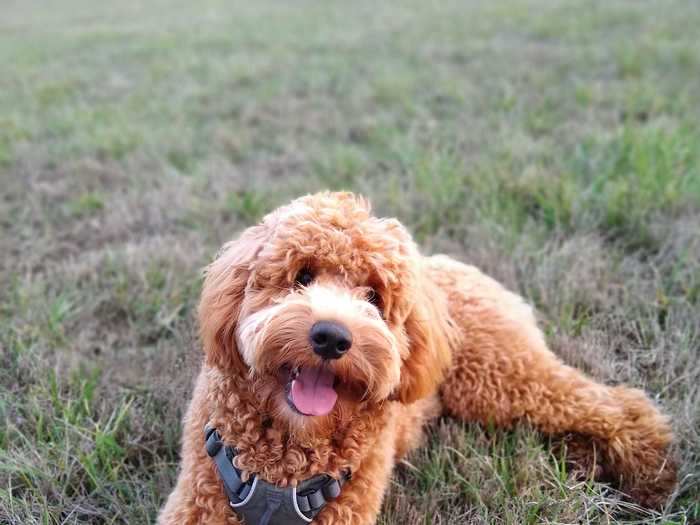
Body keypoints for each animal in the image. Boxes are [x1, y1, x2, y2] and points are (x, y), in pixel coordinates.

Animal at [160, 191, 680, 524]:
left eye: (373, 296)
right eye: (301, 275)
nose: (331, 338)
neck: (285, 462)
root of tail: (452, 267)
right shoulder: (198, 501)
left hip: (502, 379)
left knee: (613, 404)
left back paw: (652, 477)